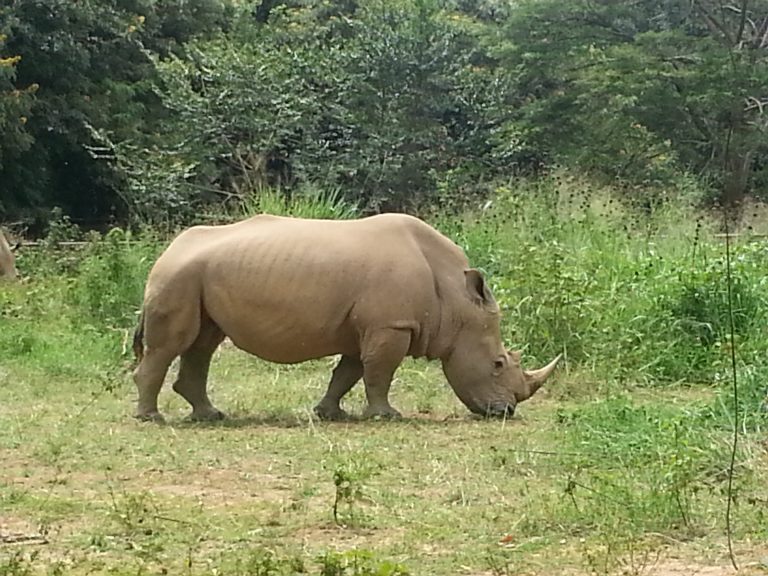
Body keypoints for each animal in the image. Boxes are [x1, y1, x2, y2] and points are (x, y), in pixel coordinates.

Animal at [132, 213, 561, 422]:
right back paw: (152, 419)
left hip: (197, 277)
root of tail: (166, 251)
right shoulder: (391, 324)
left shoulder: (371, 326)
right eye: (498, 363)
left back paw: (210, 416)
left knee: (202, 343)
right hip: (178, 276)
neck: (455, 300)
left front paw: (329, 414)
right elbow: (379, 373)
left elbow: (349, 372)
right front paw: (387, 417)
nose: (506, 412)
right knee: (174, 344)